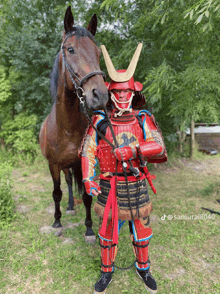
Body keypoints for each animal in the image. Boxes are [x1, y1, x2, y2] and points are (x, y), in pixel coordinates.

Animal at [39, 6, 109, 243]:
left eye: (98, 53)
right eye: (70, 49)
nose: (100, 95)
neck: (66, 127)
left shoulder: (80, 162)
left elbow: (87, 196)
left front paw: (89, 230)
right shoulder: (53, 165)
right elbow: (56, 193)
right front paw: (57, 222)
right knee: (67, 183)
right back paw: (67, 208)